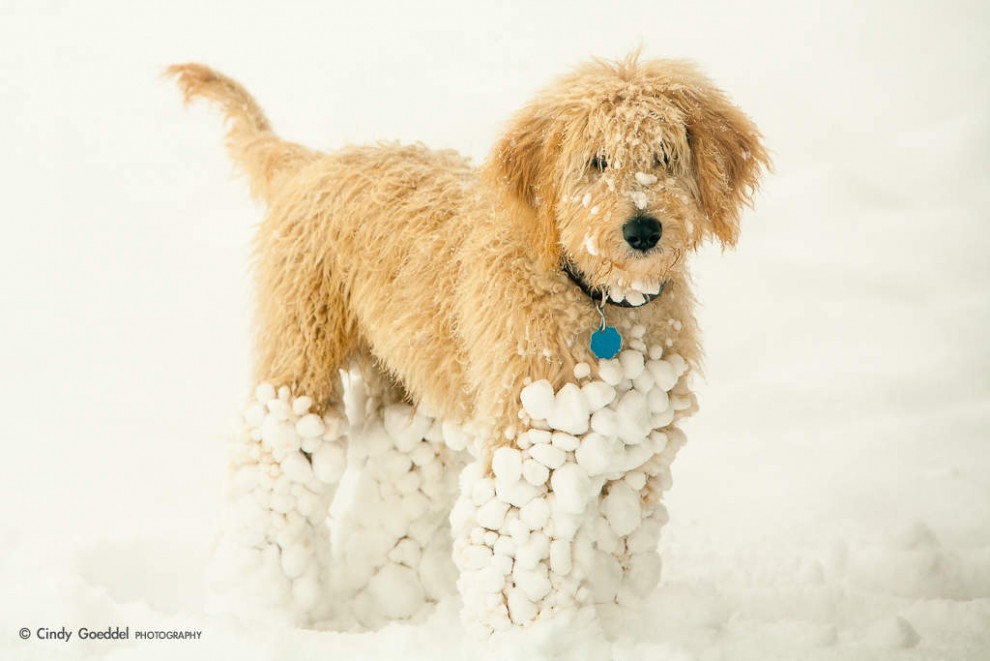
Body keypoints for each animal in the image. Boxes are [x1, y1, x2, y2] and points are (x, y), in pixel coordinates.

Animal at [170, 54, 772, 648]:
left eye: (665, 157)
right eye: (596, 161)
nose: (643, 229)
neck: (597, 300)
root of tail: (312, 163)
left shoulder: (632, 461)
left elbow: (615, 560)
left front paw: (619, 637)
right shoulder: (527, 451)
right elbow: (519, 565)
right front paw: (529, 641)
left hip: (410, 400)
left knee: (394, 492)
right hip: (300, 365)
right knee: (273, 471)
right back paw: (262, 604)